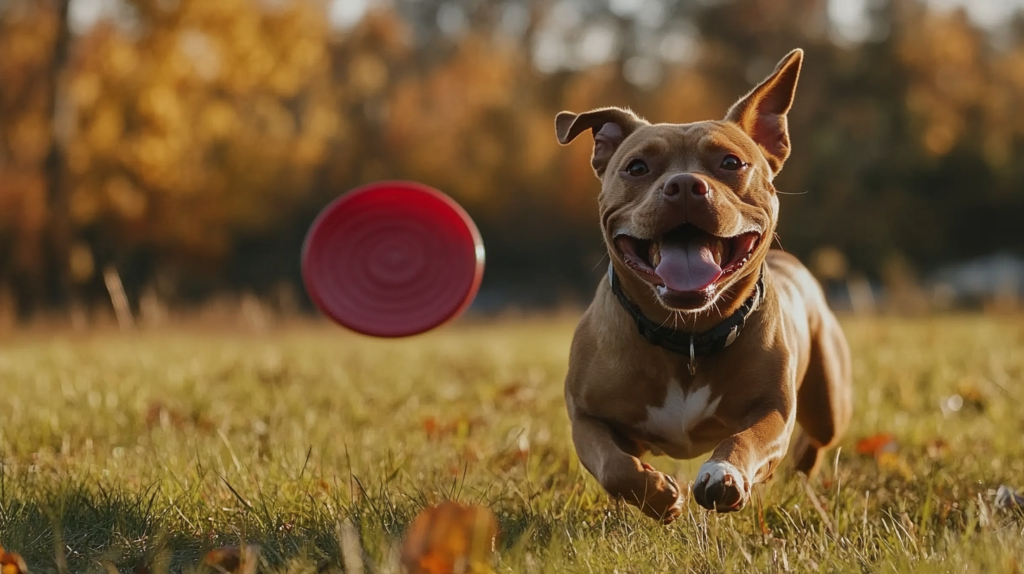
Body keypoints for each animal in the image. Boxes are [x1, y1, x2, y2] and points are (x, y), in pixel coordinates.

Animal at [557, 49, 851, 521]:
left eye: (730, 162)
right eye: (637, 167)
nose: (683, 185)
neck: (687, 334)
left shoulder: (773, 410)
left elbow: (746, 439)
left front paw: (723, 474)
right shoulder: (586, 416)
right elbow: (614, 465)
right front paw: (659, 494)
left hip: (829, 404)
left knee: (816, 440)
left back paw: (801, 474)